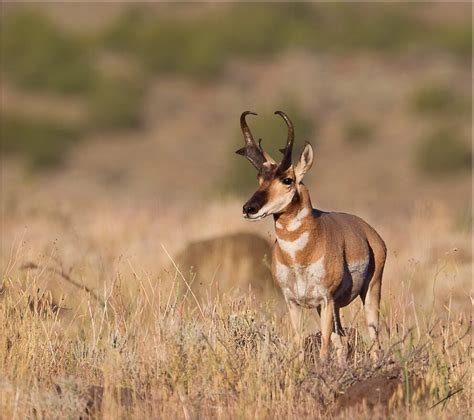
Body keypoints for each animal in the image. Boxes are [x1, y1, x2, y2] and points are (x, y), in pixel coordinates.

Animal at [235, 111, 386, 360]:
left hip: (370, 292)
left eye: (287, 180)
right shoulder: (294, 303)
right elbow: (298, 344)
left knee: (374, 341)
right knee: (342, 342)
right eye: (259, 178)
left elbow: (323, 347)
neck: (299, 256)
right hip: (330, 308)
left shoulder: (325, 300)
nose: (249, 209)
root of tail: (368, 231)